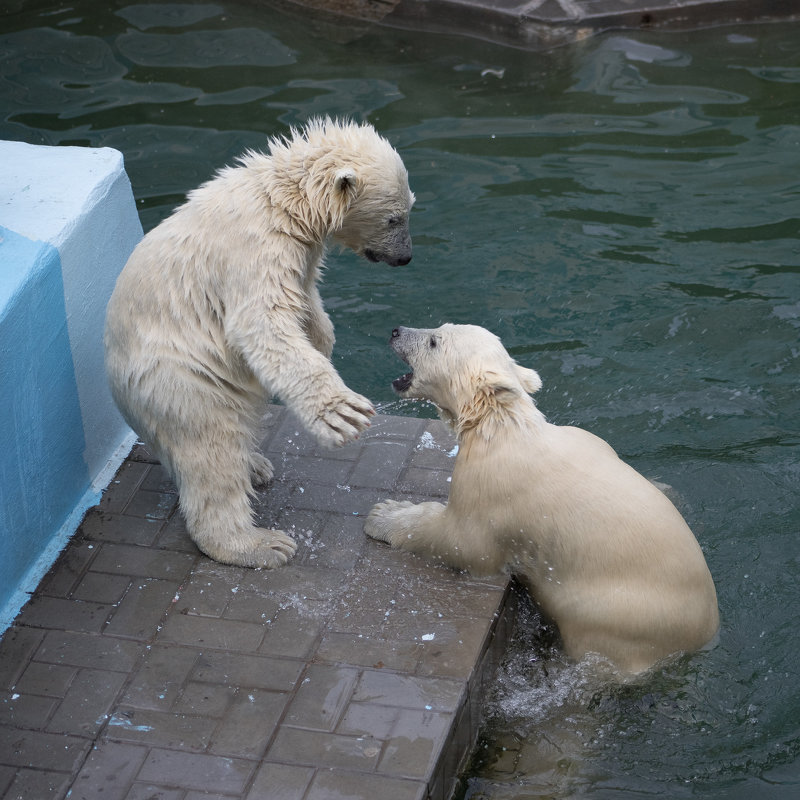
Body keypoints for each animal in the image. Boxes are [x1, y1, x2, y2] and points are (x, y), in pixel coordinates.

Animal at [105, 119, 416, 568]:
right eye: (394, 218)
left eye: (408, 210)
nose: (406, 257)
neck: (284, 201)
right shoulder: (253, 251)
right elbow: (263, 325)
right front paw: (342, 414)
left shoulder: (301, 255)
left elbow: (306, 301)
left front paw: (322, 338)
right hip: (180, 382)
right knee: (211, 452)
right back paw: (258, 544)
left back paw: (254, 466)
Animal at [364, 324, 720, 676]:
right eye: (438, 328)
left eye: (434, 341)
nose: (396, 331)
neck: (501, 426)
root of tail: (701, 639)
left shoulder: (490, 487)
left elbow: (462, 542)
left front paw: (383, 514)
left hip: (616, 620)